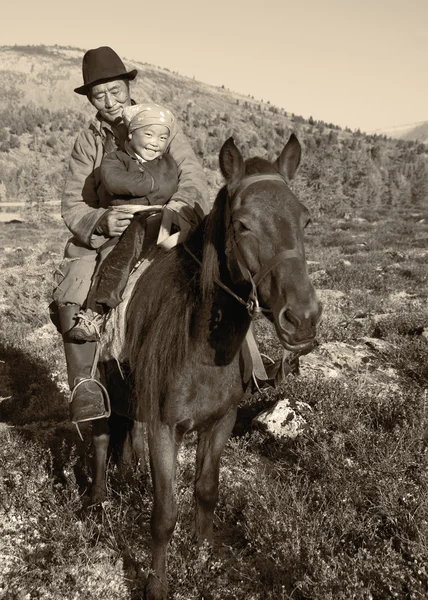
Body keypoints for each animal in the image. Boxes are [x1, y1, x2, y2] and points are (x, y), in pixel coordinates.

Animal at [93, 134, 320, 596]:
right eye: (243, 224)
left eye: (305, 220)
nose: (303, 318)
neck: (199, 347)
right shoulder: (166, 429)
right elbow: (164, 514)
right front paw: (156, 585)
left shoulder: (221, 420)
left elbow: (206, 490)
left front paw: (201, 556)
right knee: (103, 436)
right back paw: (99, 504)